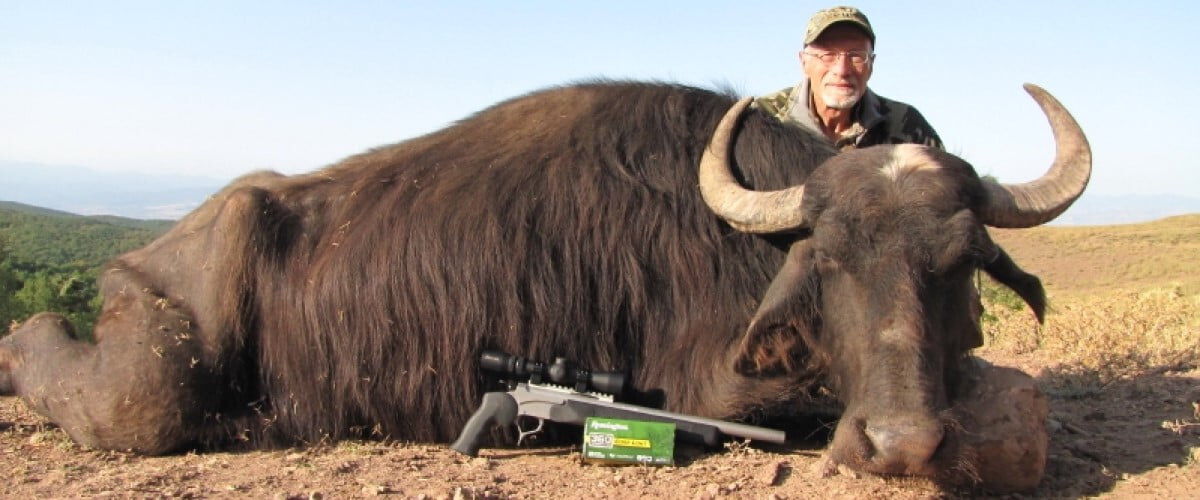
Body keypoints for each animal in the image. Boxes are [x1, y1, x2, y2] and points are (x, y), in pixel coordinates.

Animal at [0, 79, 1089, 477]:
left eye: (957, 266)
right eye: (827, 264)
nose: (901, 443)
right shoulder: (719, 385)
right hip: (155, 372)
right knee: (96, 382)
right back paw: (17, 350)